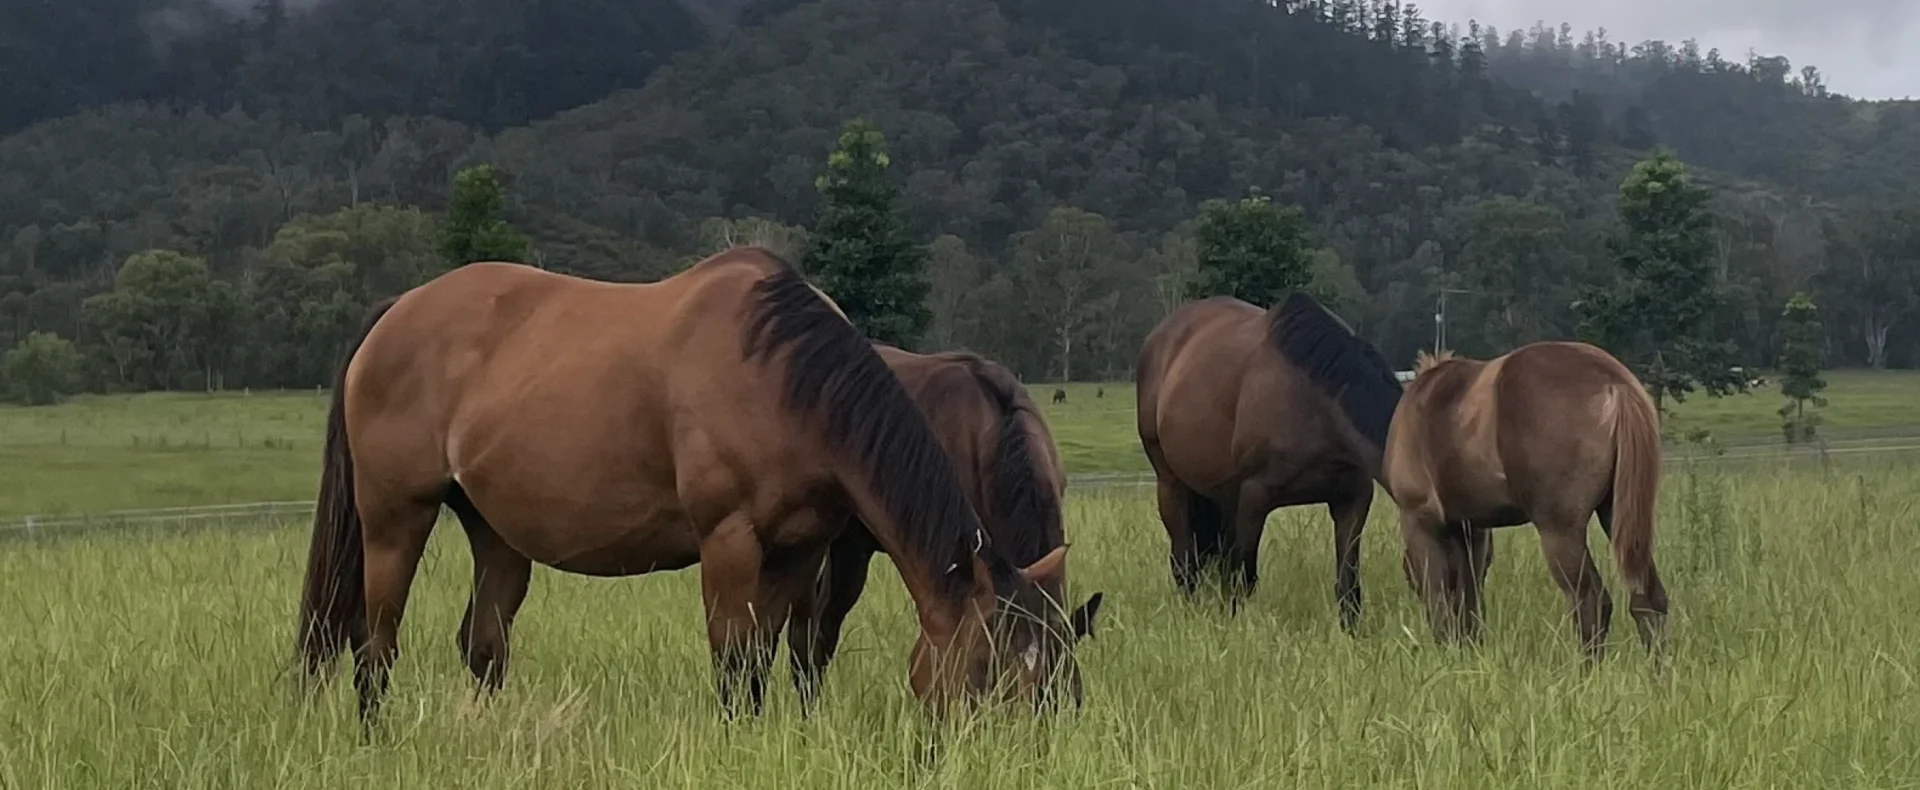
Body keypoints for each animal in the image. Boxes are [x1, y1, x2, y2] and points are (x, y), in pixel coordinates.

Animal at [1135, 293, 1403, 626]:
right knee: (1185, 564)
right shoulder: (1253, 497)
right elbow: (1243, 578)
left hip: (1221, 497)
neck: (1316, 404)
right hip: (1172, 484)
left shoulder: (1353, 499)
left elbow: (1348, 584)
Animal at [1383, 343, 1668, 665]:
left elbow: (1440, 601)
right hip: (1617, 514)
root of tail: (1615, 382)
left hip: (1560, 530)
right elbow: (1469, 601)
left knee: (1591, 600)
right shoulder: (1472, 529)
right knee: (1648, 597)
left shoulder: (1419, 522)